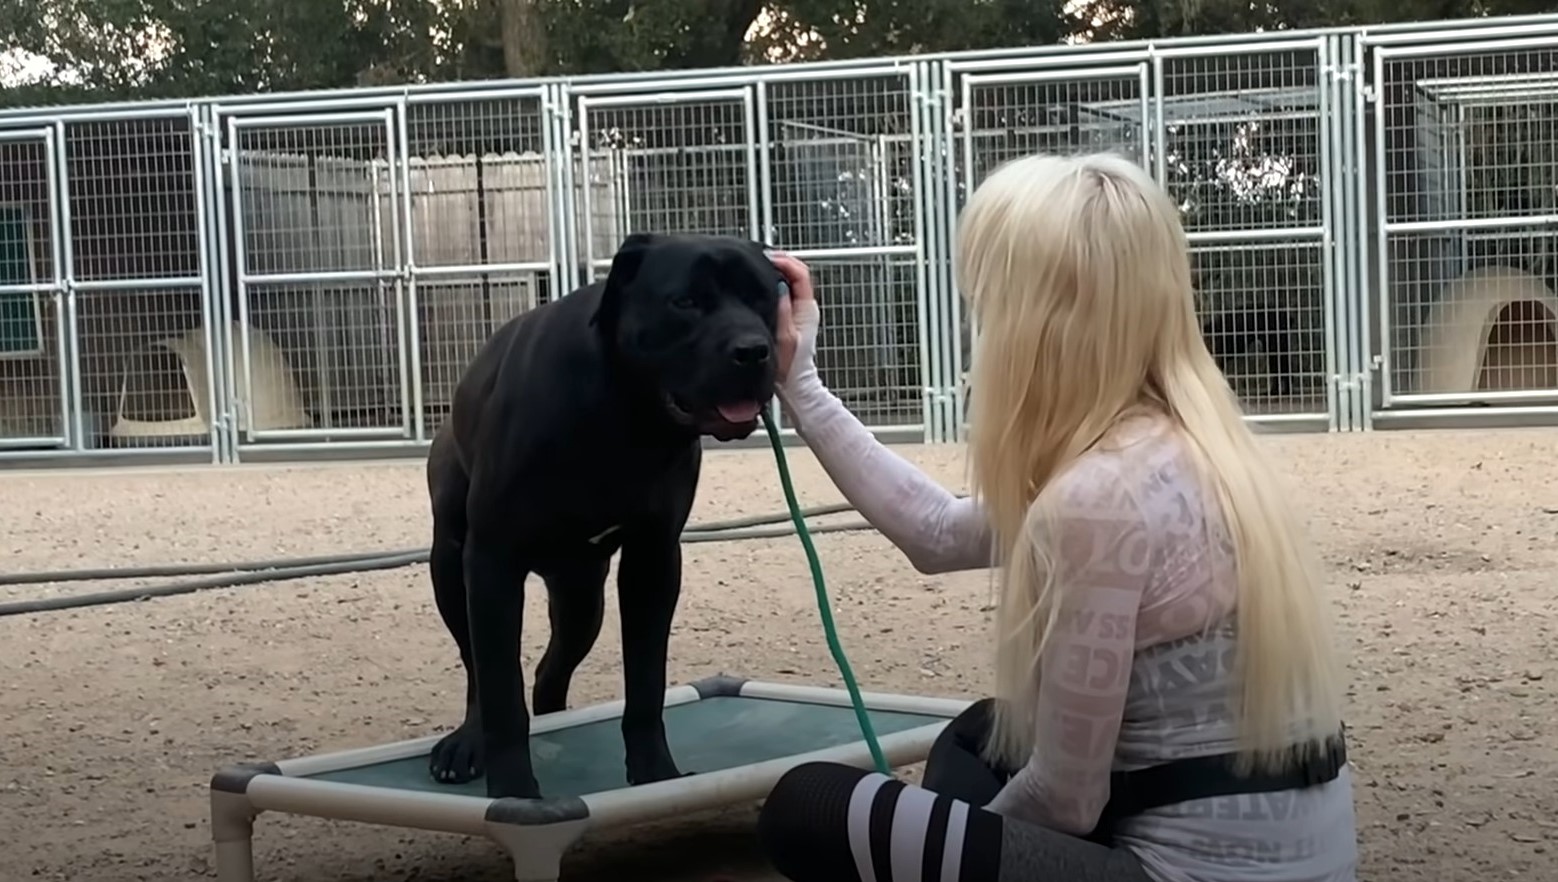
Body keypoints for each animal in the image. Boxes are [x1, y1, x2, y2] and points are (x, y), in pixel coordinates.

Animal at [423, 235, 779, 804]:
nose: (752, 350)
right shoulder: (493, 562)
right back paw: (466, 743)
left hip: (581, 599)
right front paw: (516, 793)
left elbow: (646, 684)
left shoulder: (653, 561)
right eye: (685, 302)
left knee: (549, 671)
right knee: (478, 669)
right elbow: (501, 689)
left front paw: (656, 774)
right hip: (452, 570)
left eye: (764, 297)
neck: (626, 414)